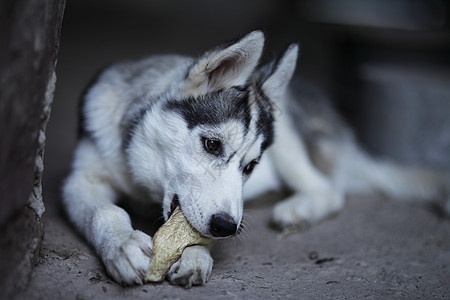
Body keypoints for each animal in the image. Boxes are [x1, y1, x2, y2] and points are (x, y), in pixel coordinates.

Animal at [61, 31, 448, 288]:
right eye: (212, 144)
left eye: (249, 167)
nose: (227, 227)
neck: (141, 180)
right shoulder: (79, 178)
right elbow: (105, 211)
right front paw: (123, 244)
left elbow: (193, 232)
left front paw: (195, 255)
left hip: (289, 134)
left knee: (329, 188)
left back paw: (298, 208)